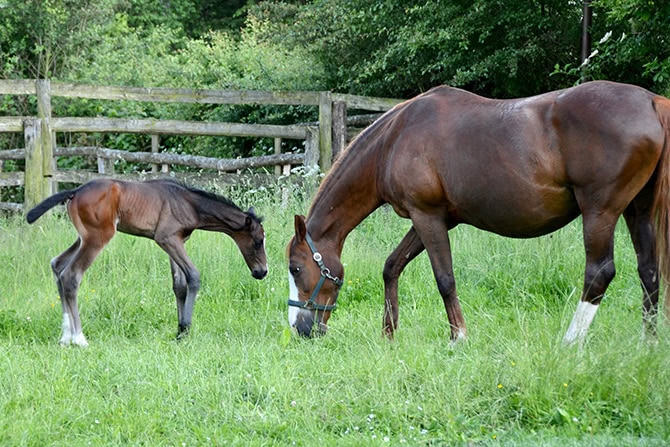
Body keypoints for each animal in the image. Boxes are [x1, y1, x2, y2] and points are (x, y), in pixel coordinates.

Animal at [26, 178, 268, 346]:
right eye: (258, 242)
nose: (262, 272)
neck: (190, 204)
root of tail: (75, 192)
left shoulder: (177, 241)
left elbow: (179, 285)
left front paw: (179, 331)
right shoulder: (166, 239)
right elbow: (193, 276)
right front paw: (185, 328)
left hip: (82, 238)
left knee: (57, 265)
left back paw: (65, 337)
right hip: (97, 237)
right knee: (71, 275)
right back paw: (79, 338)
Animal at [286, 80, 670, 344]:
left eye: (296, 268)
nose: (300, 329)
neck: (394, 140)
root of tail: (652, 101)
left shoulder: (428, 217)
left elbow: (444, 278)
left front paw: (458, 337)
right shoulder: (432, 219)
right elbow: (391, 266)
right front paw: (389, 334)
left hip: (600, 213)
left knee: (599, 273)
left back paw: (570, 342)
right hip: (637, 211)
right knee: (649, 271)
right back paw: (647, 343)